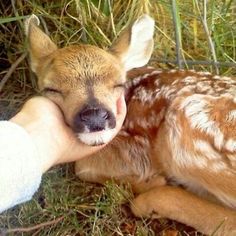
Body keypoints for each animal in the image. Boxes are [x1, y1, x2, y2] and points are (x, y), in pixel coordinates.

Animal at [25, 14, 236, 234]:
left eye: (118, 83)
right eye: (51, 89)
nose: (95, 116)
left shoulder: (139, 147)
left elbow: (82, 167)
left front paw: (151, 181)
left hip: (189, 122)